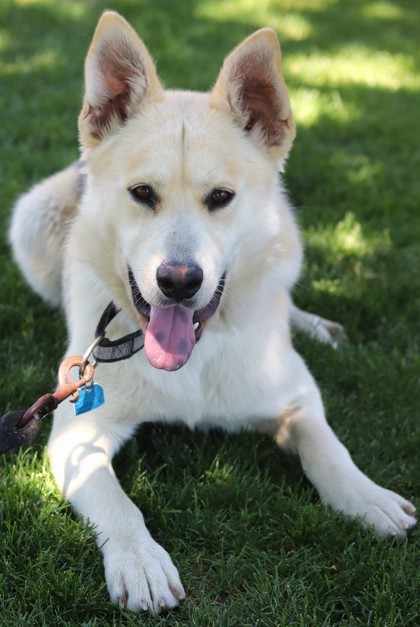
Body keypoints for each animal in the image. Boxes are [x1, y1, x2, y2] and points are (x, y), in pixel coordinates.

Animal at [8, 12, 416, 616]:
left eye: (221, 197)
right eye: (142, 193)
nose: (179, 282)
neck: (194, 358)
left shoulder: (296, 394)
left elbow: (327, 446)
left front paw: (367, 497)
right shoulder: (78, 433)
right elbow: (116, 499)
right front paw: (140, 560)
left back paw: (314, 324)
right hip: (33, 221)